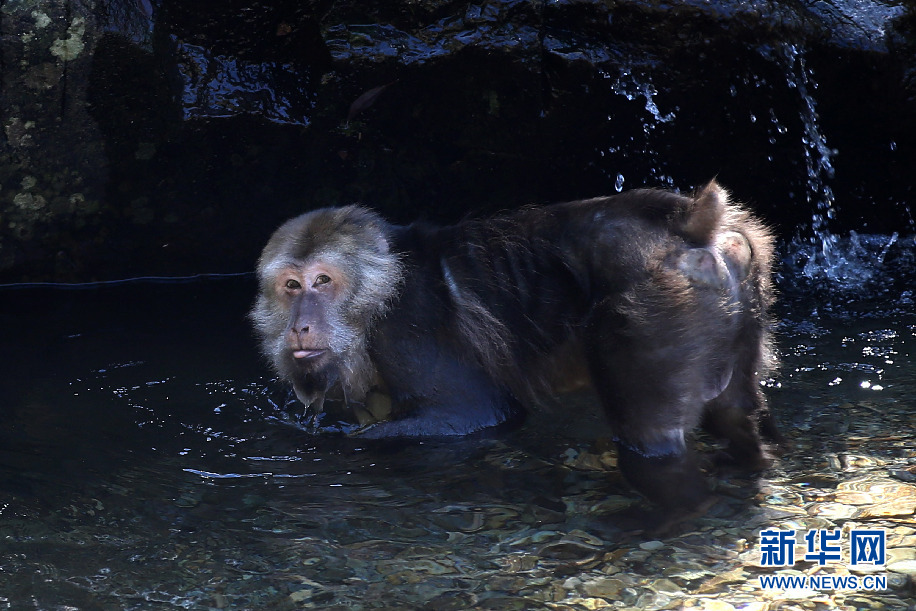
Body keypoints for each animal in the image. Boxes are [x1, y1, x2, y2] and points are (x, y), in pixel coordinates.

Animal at [252, 182, 780, 516]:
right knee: (734, 411)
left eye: (323, 282)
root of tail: (689, 222)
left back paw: (673, 514)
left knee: (650, 438)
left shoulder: (407, 329)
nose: (300, 325)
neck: (380, 294)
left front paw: (326, 449)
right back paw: (747, 460)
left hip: (656, 310)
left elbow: (478, 414)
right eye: (291, 286)